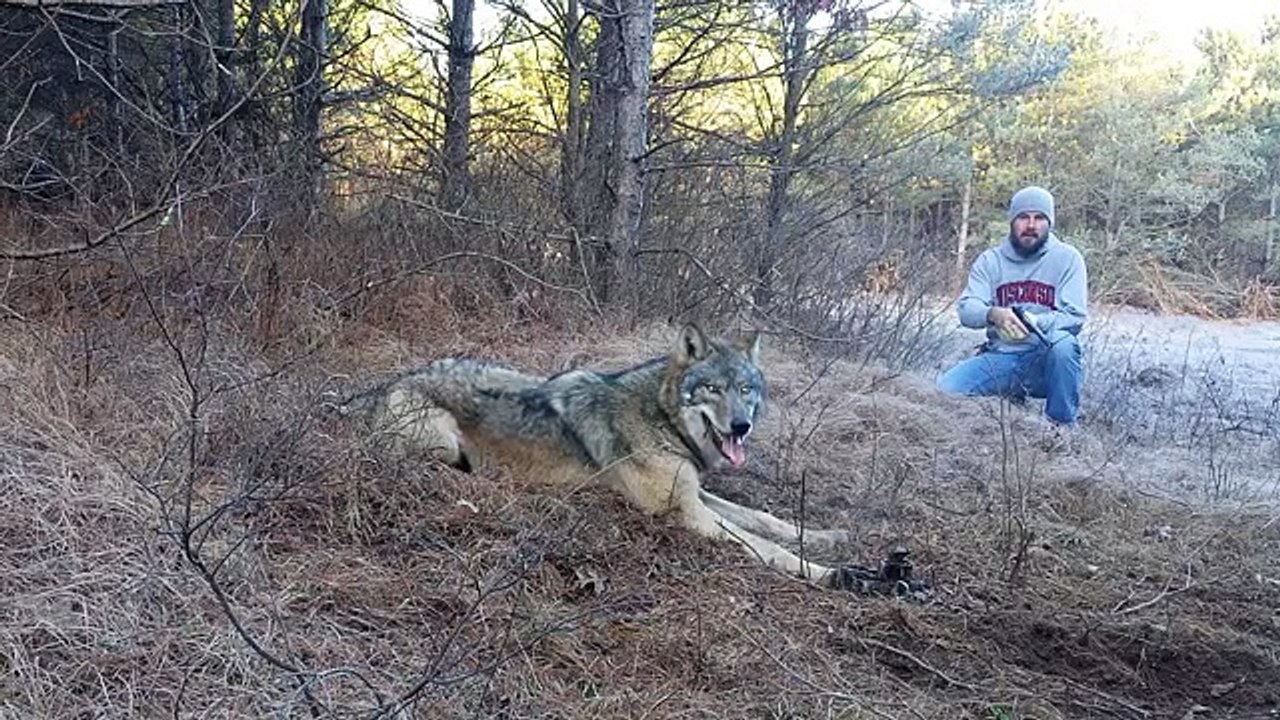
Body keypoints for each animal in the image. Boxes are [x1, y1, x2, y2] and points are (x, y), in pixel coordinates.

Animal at [336, 323, 854, 588]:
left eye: (746, 390)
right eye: (713, 389)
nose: (741, 426)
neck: (661, 418)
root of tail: (386, 384)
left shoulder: (697, 494)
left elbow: (767, 520)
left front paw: (829, 536)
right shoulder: (687, 513)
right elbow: (768, 547)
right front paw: (832, 574)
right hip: (443, 441)